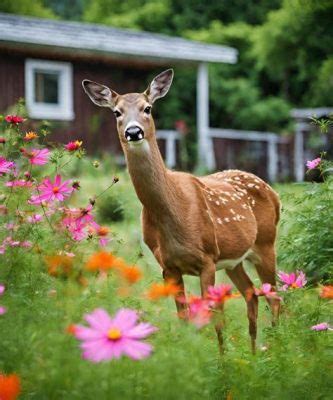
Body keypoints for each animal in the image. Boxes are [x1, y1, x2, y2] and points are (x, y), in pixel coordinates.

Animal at [82, 69, 280, 354]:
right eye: (116, 112)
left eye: (147, 108)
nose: (134, 131)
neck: (173, 215)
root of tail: (273, 192)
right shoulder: (169, 267)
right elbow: (183, 319)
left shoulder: (207, 259)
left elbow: (213, 317)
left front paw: (222, 362)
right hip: (235, 259)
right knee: (252, 294)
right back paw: (255, 355)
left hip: (266, 243)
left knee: (275, 297)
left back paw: (277, 349)